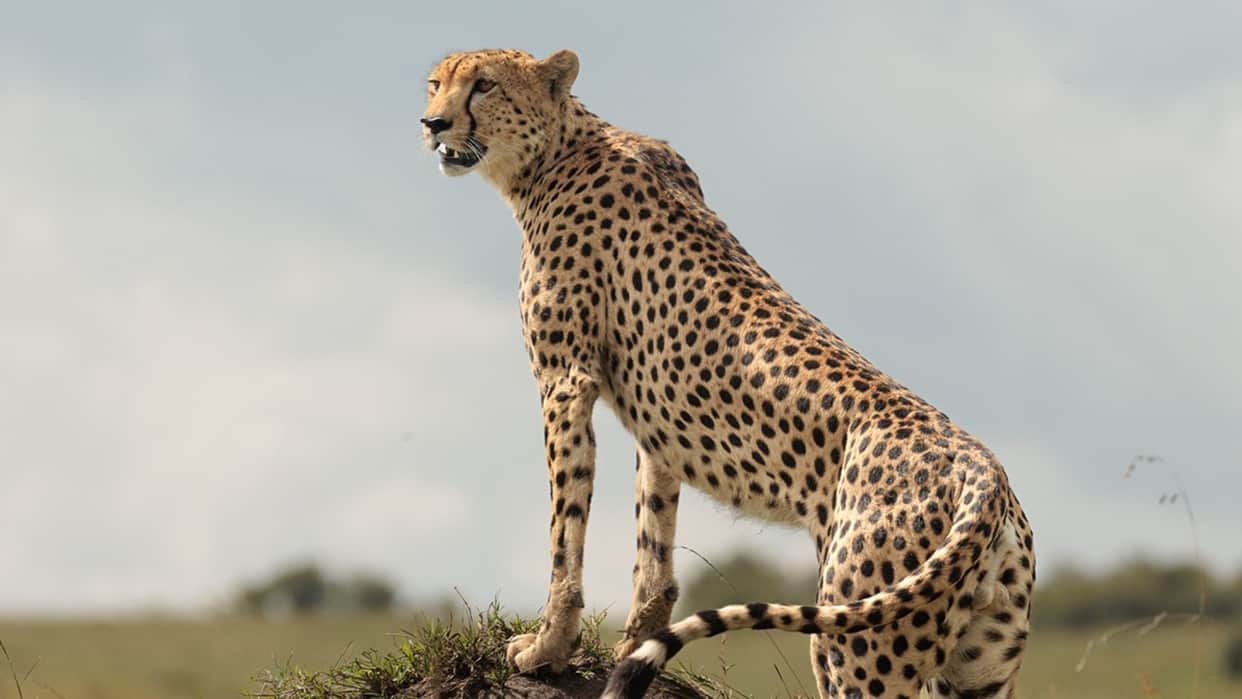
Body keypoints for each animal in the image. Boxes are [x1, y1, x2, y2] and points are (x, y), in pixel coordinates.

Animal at [420, 48, 1035, 699]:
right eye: (435, 84)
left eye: (484, 86)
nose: (432, 123)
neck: (558, 150)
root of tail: (985, 470)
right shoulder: (656, 421)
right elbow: (653, 540)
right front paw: (632, 648)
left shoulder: (565, 383)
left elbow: (566, 531)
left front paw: (546, 648)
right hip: (976, 668)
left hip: (855, 646)